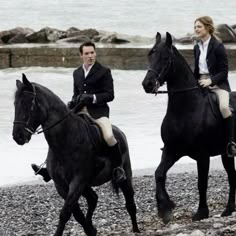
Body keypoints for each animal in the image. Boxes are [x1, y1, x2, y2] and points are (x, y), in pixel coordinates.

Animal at [12, 74, 140, 236]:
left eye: (28, 104)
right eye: (15, 104)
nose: (17, 136)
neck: (65, 141)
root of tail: (119, 132)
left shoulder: (77, 182)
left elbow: (65, 213)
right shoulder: (61, 185)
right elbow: (76, 213)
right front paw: (90, 230)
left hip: (124, 176)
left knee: (130, 203)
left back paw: (136, 229)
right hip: (86, 185)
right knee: (93, 198)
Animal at [142, 32, 236, 223]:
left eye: (165, 58)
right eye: (150, 55)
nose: (147, 84)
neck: (187, 109)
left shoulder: (202, 155)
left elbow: (201, 183)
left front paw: (201, 212)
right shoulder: (171, 150)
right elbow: (159, 174)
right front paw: (165, 209)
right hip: (226, 154)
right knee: (232, 175)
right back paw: (229, 209)